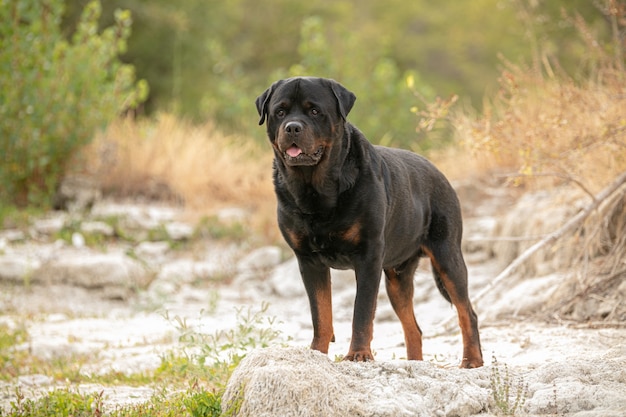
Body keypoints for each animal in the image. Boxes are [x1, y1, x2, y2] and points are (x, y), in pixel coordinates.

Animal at [254, 76, 482, 366]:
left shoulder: (368, 256)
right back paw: (414, 364)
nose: (292, 127)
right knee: (413, 328)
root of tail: (439, 173)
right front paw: (316, 353)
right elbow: (321, 314)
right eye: (280, 112)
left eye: (314, 111)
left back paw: (472, 360)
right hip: (397, 277)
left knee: (467, 312)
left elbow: (361, 312)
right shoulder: (308, 260)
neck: (315, 189)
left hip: (447, 255)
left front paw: (358, 354)